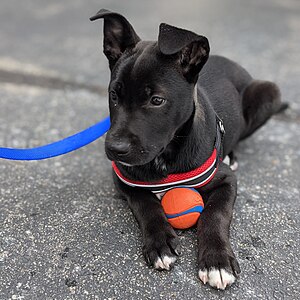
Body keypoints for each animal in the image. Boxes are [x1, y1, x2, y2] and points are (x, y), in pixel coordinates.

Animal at [91, 9, 282, 290]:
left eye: (157, 100)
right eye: (113, 95)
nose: (115, 149)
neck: (165, 156)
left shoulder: (227, 180)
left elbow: (214, 214)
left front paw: (216, 262)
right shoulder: (123, 178)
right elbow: (146, 204)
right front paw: (160, 242)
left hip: (269, 92)